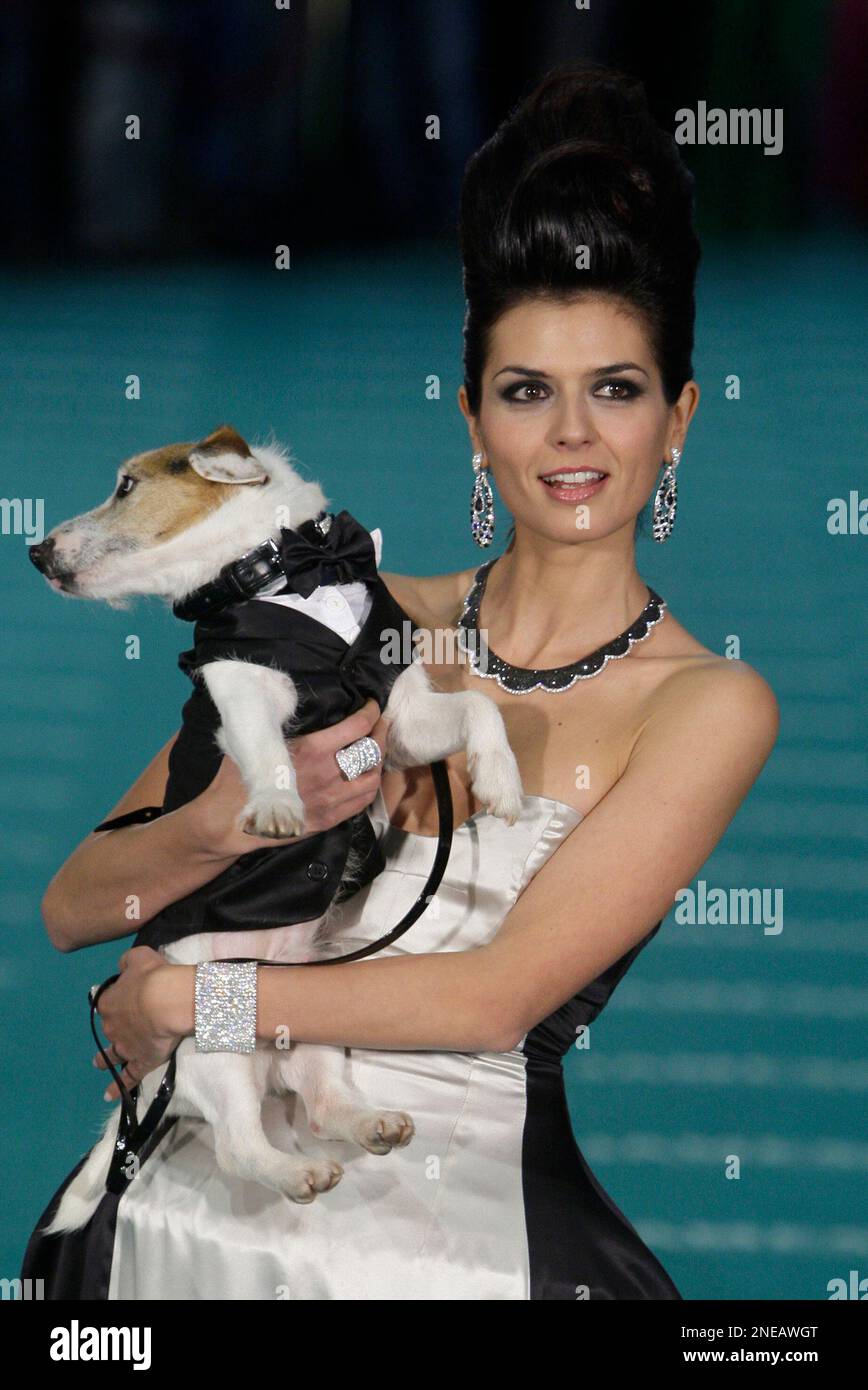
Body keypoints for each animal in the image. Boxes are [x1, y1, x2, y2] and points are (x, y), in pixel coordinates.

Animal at [30, 419, 525, 1228]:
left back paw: (370, 1123)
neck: (282, 574)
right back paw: (296, 1172)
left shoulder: (403, 715)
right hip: (212, 1046)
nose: (36, 552)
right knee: (240, 1144)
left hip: (313, 1021)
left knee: (322, 1103)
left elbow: (480, 706)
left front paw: (501, 779)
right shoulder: (241, 680)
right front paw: (276, 805)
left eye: (127, 486)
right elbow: (264, 746)